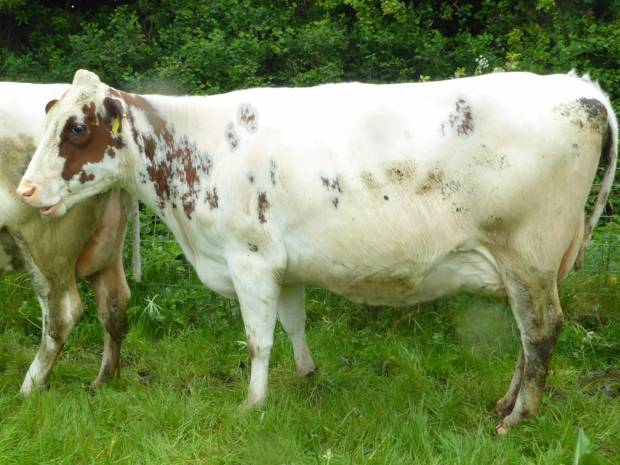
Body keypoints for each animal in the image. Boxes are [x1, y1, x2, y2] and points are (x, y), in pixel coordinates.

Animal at [0, 82, 137, 392]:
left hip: (45, 242)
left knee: (63, 314)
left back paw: (28, 390)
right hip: (108, 243)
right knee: (115, 301)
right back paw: (102, 382)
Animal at [17, 70, 616, 434]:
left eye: (76, 128)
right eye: (47, 121)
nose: (24, 190)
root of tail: (580, 87)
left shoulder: (250, 258)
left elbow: (258, 340)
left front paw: (252, 403)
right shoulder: (284, 266)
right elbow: (293, 324)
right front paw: (307, 379)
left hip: (528, 256)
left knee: (540, 330)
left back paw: (519, 417)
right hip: (527, 266)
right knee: (525, 336)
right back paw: (507, 402)